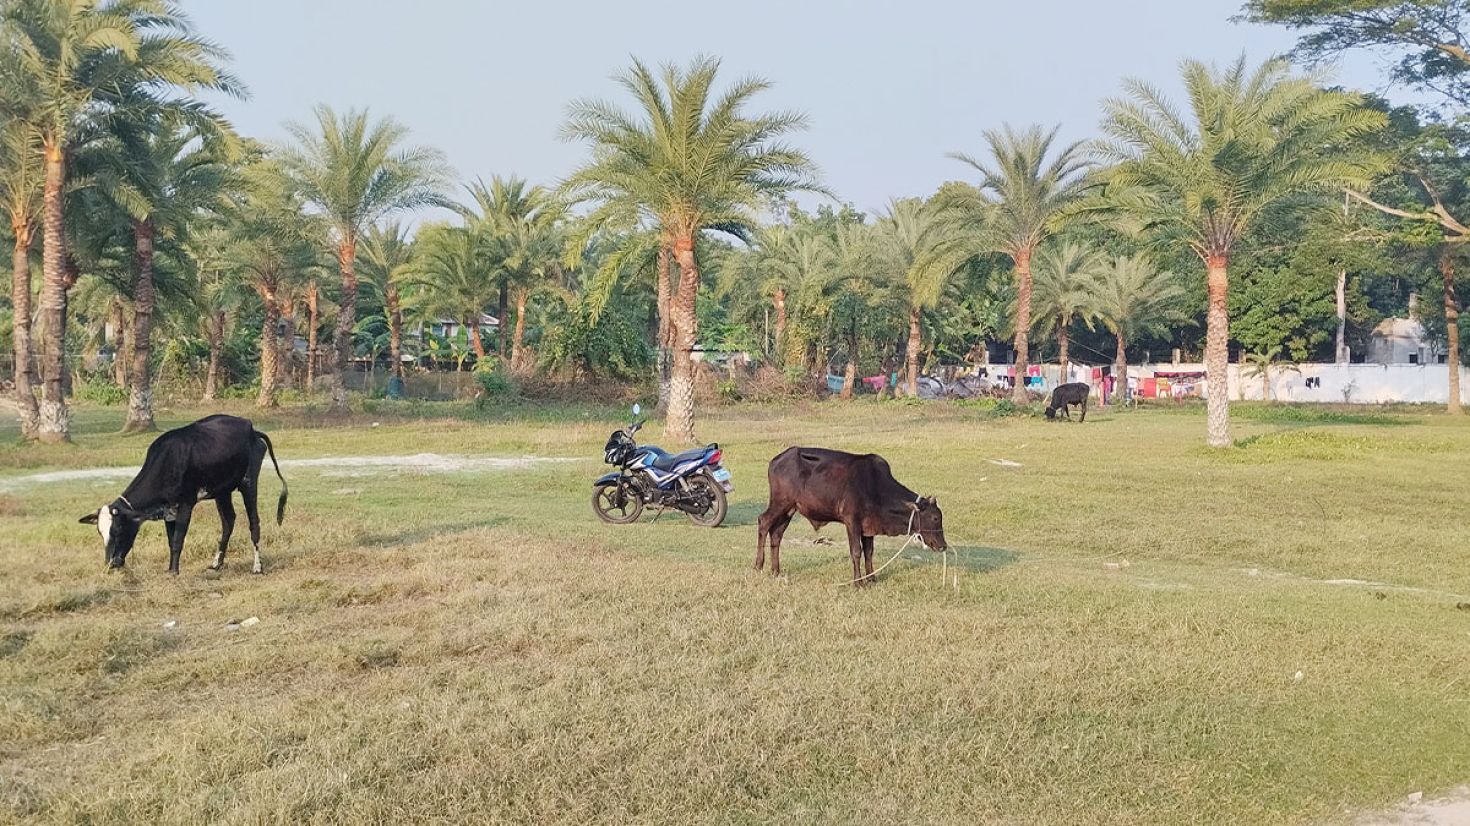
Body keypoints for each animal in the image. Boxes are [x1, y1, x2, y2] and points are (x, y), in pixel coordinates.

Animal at [78, 411, 286, 573]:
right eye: (100, 532)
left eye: (119, 529)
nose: (110, 564)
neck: (167, 461)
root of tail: (252, 429)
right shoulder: (169, 511)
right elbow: (172, 541)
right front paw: (171, 569)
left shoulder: (186, 503)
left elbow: (178, 539)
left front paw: (173, 572)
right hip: (222, 491)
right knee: (228, 521)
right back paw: (216, 564)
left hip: (248, 483)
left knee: (254, 523)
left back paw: (257, 567)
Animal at [752, 443, 946, 584]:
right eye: (935, 518)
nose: (943, 546)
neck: (875, 486)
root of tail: (776, 460)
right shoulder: (852, 521)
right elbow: (856, 551)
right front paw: (858, 581)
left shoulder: (868, 526)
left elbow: (869, 552)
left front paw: (871, 578)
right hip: (780, 503)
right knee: (763, 522)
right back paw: (758, 566)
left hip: (789, 510)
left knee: (776, 534)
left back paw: (776, 571)